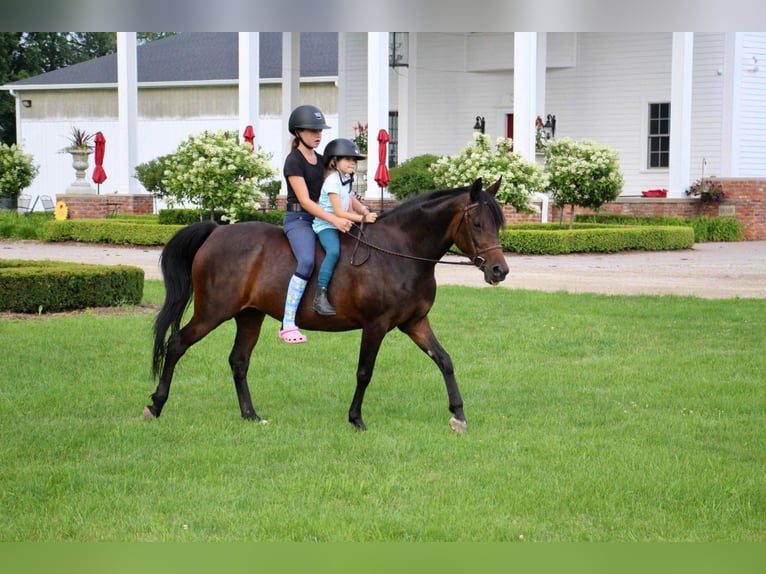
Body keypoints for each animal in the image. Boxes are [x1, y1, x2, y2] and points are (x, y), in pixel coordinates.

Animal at [149, 179, 510, 432]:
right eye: (477, 223)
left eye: (497, 223)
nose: (499, 270)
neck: (401, 250)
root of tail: (216, 231)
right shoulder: (376, 325)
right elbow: (365, 372)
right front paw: (356, 419)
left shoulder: (415, 322)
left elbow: (445, 361)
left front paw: (459, 416)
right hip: (213, 312)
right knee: (177, 343)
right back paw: (155, 405)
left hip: (249, 316)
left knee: (238, 361)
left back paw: (250, 415)